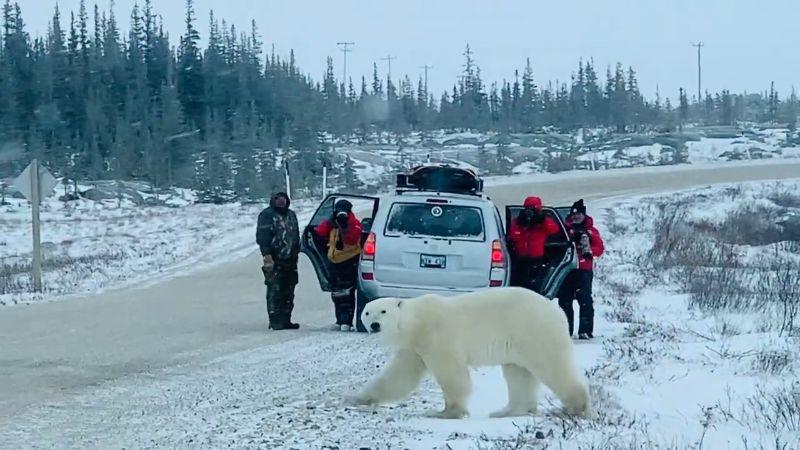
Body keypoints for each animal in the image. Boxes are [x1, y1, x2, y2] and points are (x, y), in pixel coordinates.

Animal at [346, 286, 592, 420]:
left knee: (551, 364)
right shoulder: (414, 347)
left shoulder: (436, 336)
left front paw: (447, 412)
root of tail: (557, 311)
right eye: (367, 312)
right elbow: (399, 376)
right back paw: (506, 411)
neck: (415, 322)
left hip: (533, 330)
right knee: (517, 372)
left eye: (383, 311)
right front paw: (357, 397)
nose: (375, 325)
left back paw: (574, 407)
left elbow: (451, 372)